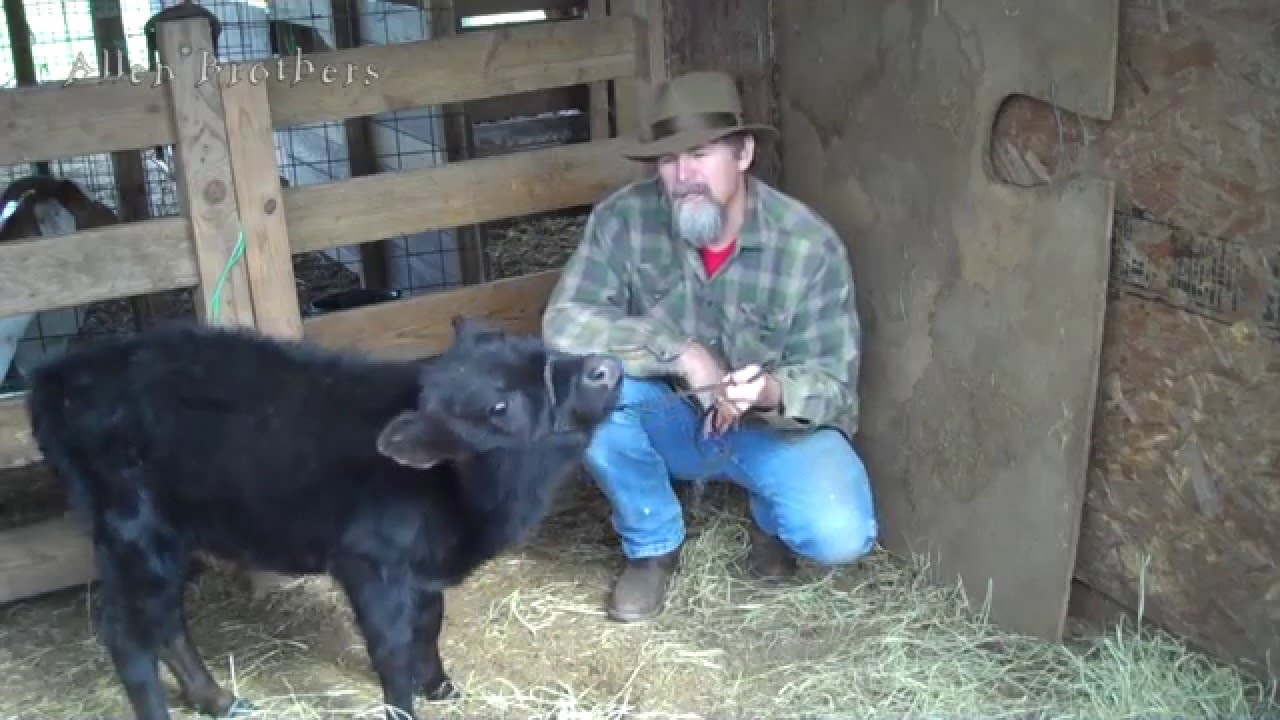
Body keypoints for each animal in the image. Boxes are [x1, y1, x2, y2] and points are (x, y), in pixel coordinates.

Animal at [24, 316, 622, 720]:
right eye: (499, 408)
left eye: (540, 349)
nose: (607, 366)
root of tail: (58, 375)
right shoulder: (370, 565)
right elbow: (391, 647)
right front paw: (405, 705)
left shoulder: (423, 573)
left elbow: (428, 626)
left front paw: (441, 686)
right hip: (137, 534)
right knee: (128, 634)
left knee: (165, 620)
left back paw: (217, 698)